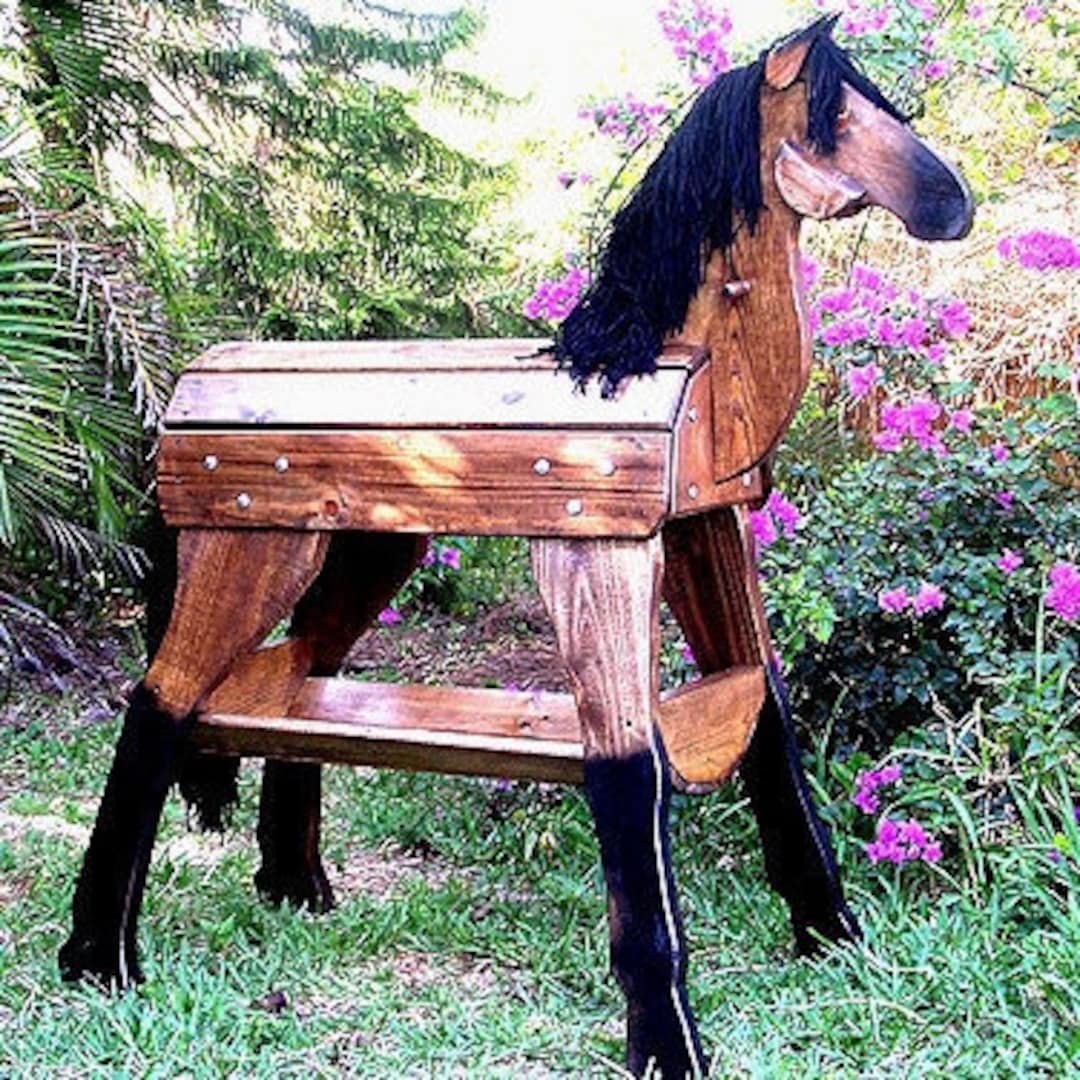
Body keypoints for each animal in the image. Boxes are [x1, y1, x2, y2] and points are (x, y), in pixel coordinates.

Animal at [59, 17, 972, 1079]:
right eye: (838, 120)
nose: (956, 205)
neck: (682, 371)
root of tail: (186, 383)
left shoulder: (707, 530)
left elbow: (770, 731)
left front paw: (833, 938)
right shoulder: (599, 554)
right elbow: (631, 772)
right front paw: (668, 1041)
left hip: (370, 543)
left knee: (301, 679)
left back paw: (295, 886)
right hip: (247, 541)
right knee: (157, 709)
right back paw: (100, 959)